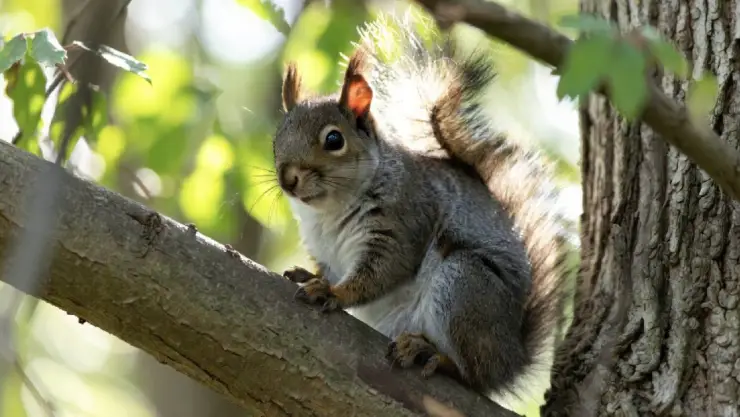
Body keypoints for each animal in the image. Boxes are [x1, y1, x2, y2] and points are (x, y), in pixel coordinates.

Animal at [272, 15, 573, 399]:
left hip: (463, 286)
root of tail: (511, 361)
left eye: (334, 139)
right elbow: (330, 269)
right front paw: (314, 277)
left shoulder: (404, 221)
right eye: (277, 138)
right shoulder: (323, 248)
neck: (328, 211)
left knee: (473, 374)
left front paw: (333, 291)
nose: (288, 179)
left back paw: (432, 354)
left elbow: (381, 272)